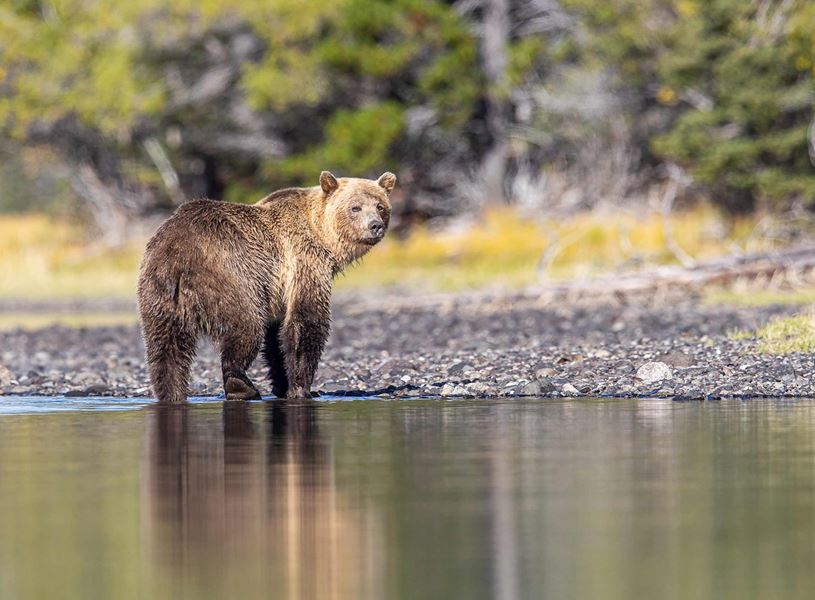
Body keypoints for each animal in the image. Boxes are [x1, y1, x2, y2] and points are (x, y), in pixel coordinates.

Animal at [137, 171, 395, 402]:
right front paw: (302, 388)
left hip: (158, 295)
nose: (375, 226)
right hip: (232, 277)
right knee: (246, 328)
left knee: (166, 350)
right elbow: (306, 320)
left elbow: (276, 338)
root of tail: (176, 255)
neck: (322, 235)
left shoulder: (278, 289)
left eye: (380, 206)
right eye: (355, 207)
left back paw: (171, 392)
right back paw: (241, 385)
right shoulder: (304, 261)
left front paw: (284, 383)